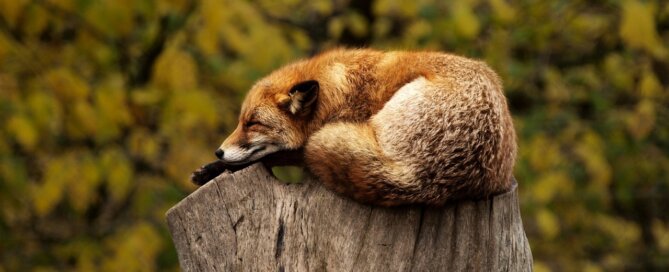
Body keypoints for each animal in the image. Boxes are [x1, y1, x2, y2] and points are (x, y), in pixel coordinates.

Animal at [190, 48, 520, 206]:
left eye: (253, 123)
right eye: (240, 121)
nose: (218, 152)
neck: (338, 93)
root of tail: (425, 179)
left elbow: (277, 155)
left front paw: (215, 168)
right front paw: (211, 168)